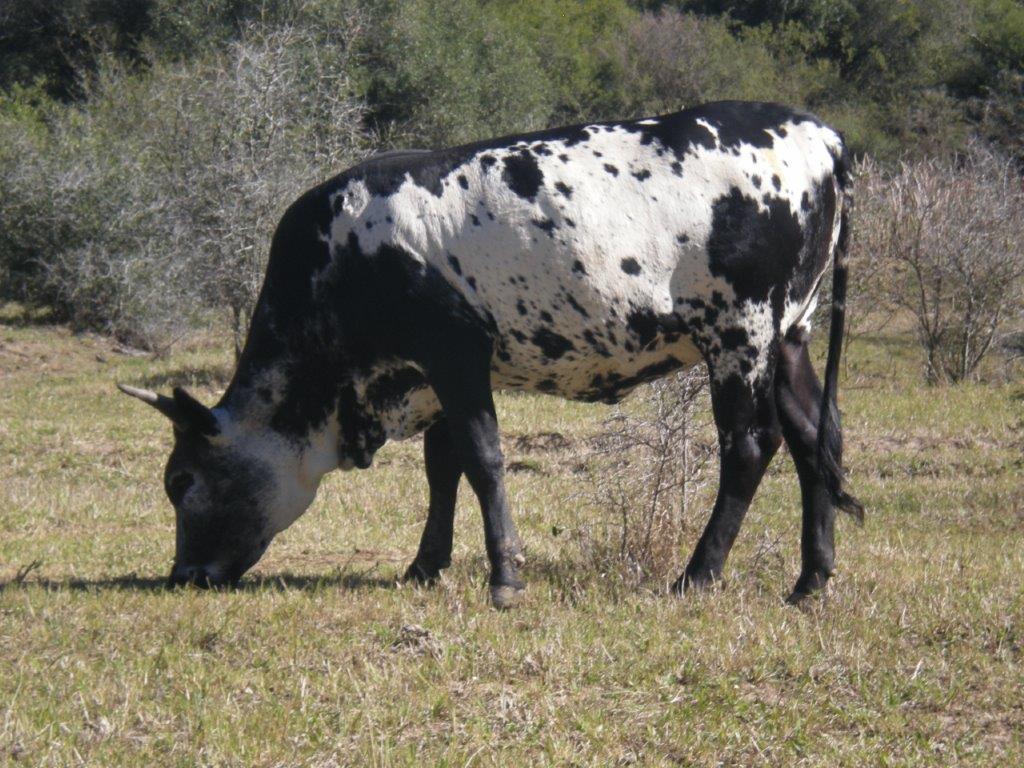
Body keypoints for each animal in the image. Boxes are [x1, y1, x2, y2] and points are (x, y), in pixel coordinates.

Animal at [119, 101, 863, 608]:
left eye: (181, 481)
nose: (183, 575)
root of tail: (818, 134)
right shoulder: (432, 378)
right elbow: (442, 467)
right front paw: (426, 564)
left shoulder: (454, 355)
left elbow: (482, 460)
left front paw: (505, 577)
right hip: (790, 335)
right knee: (816, 438)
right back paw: (811, 579)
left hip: (741, 333)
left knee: (752, 444)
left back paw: (698, 573)